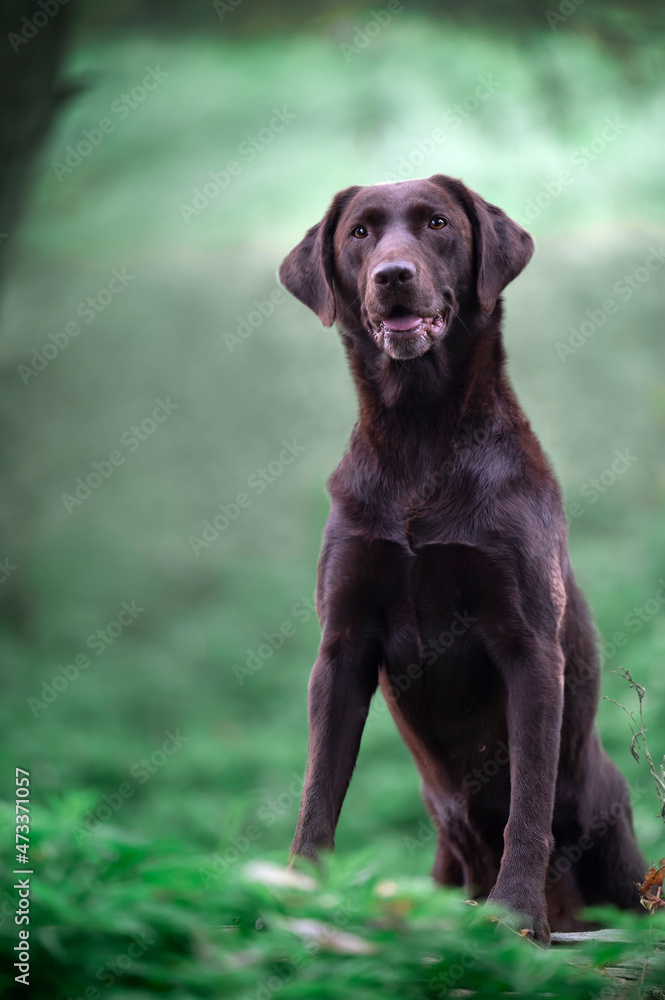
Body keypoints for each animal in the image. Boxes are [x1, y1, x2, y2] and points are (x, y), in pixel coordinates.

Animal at [278, 176, 644, 940]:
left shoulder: (529, 645)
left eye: (438, 224)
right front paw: (292, 901)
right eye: (359, 234)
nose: (392, 276)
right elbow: (318, 792)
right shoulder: (341, 647)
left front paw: (516, 916)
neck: (420, 438)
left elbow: (527, 804)